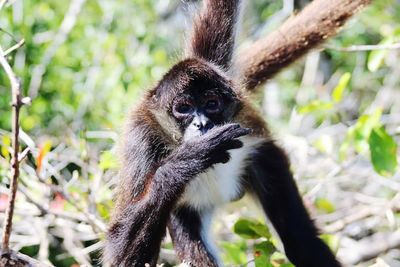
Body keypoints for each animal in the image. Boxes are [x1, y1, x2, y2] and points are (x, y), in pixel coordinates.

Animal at [103, 1, 346, 266]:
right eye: (183, 108)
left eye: (212, 104)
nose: (201, 123)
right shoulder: (142, 139)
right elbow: (121, 258)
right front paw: (190, 157)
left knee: (301, 241)